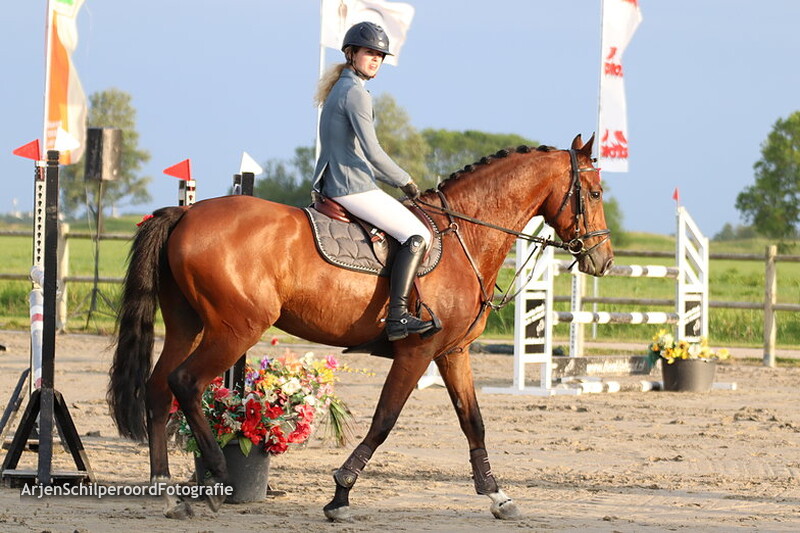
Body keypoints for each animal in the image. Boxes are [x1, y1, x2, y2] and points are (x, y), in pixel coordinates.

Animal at [108, 134, 613, 520]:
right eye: (594, 194)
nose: (603, 261)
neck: (465, 236)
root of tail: (186, 212)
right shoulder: (416, 352)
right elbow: (384, 420)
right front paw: (341, 493)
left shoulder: (452, 353)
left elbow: (473, 422)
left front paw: (497, 495)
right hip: (235, 329)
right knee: (186, 383)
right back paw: (217, 473)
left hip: (188, 327)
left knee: (159, 388)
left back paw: (166, 488)